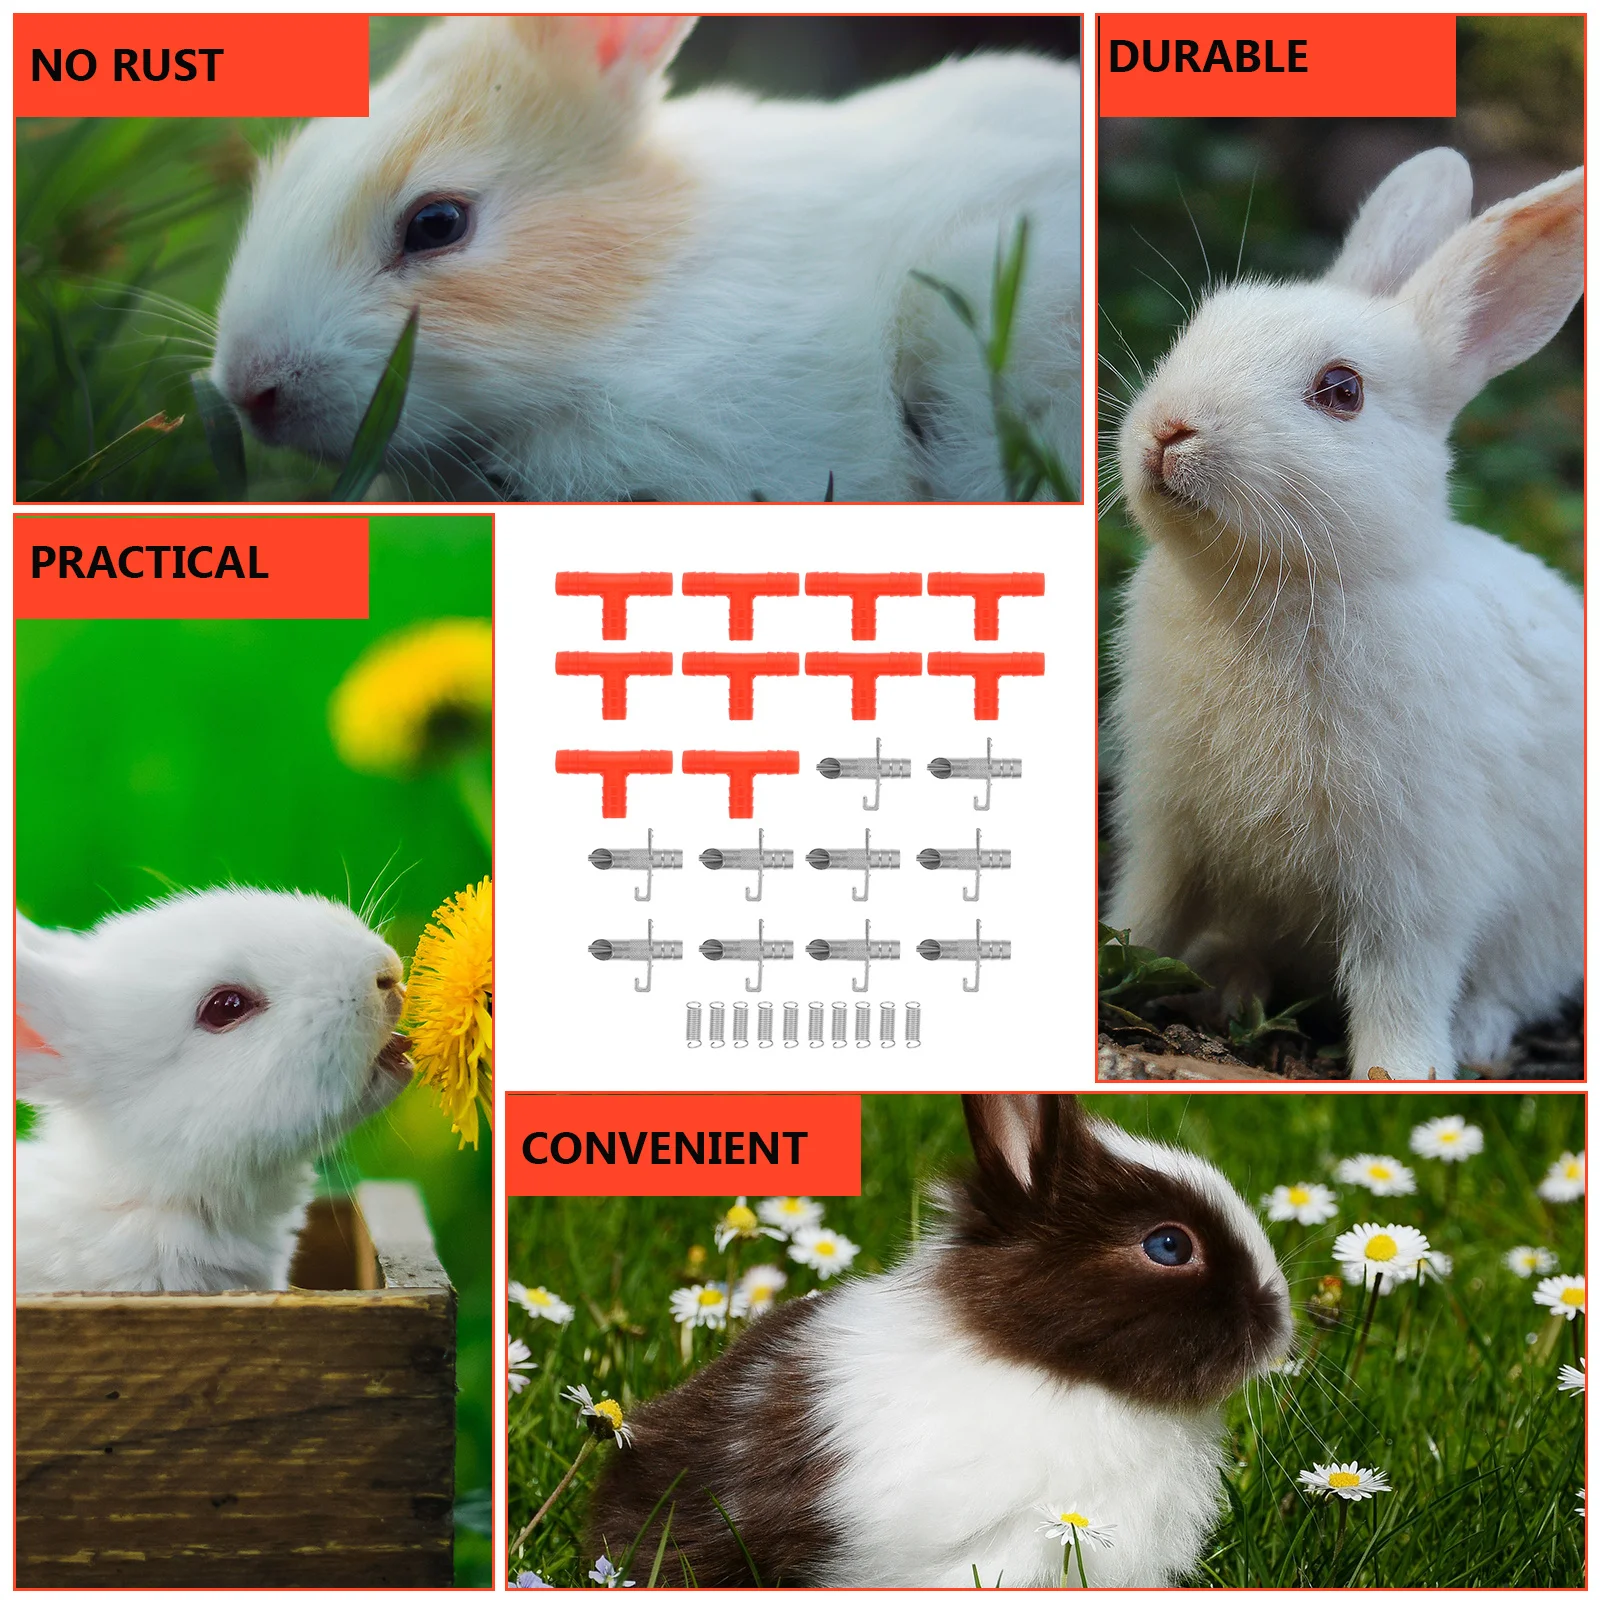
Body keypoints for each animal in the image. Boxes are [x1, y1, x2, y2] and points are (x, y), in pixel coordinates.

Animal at [1105, 149, 1584, 1080]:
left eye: (1341, 390)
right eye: (1199, 329)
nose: (1169, 430)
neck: (1275, 586)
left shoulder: (1417, 872)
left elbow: (1402, 979)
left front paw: (1400, 1073)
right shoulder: (1169, 827)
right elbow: (1148, 910)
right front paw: (1111, 959)